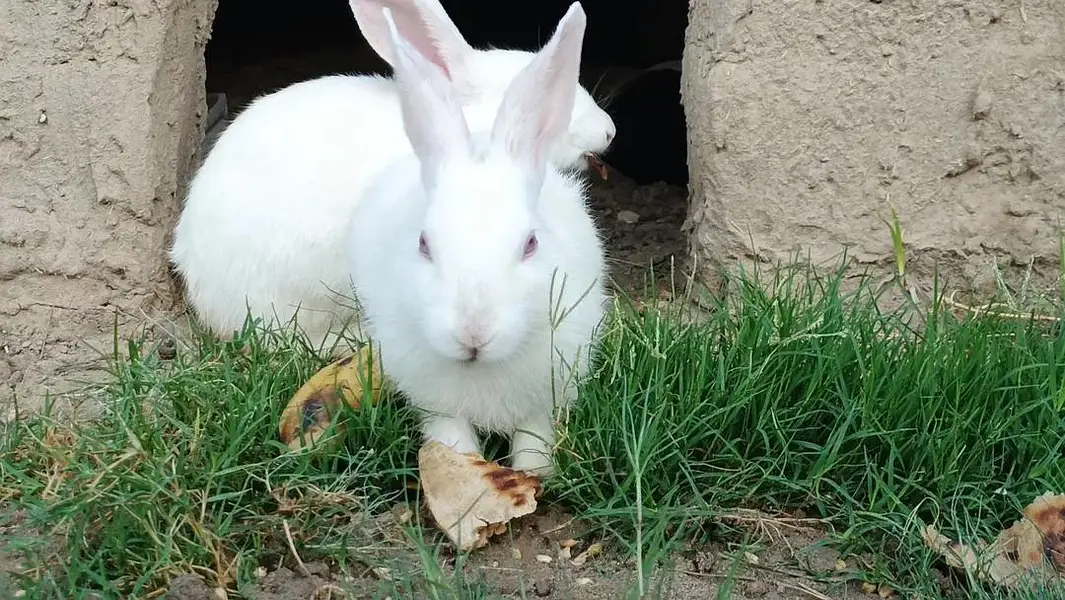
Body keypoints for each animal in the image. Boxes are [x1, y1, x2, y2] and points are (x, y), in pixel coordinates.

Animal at [345, 2, 609, 477]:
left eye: (530, 244)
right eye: (424, 244)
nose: (473, 334)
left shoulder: (546, 398)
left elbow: (533, 439)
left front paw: (534, 473)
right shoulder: (436, 405)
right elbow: (452, 440)